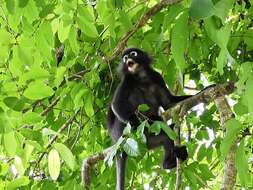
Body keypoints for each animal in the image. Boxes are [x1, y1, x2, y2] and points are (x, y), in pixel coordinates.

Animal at [107, 47, 191, 189]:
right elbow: (116, 104)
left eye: (133, 54)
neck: (141, 77)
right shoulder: (127, 81)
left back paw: (169, 162)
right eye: (124, 58)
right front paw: (137, 124)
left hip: (149, 142)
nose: (127, 59)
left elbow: (169, 103)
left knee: (168, 134)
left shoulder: (156, 77)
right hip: (121, 129)